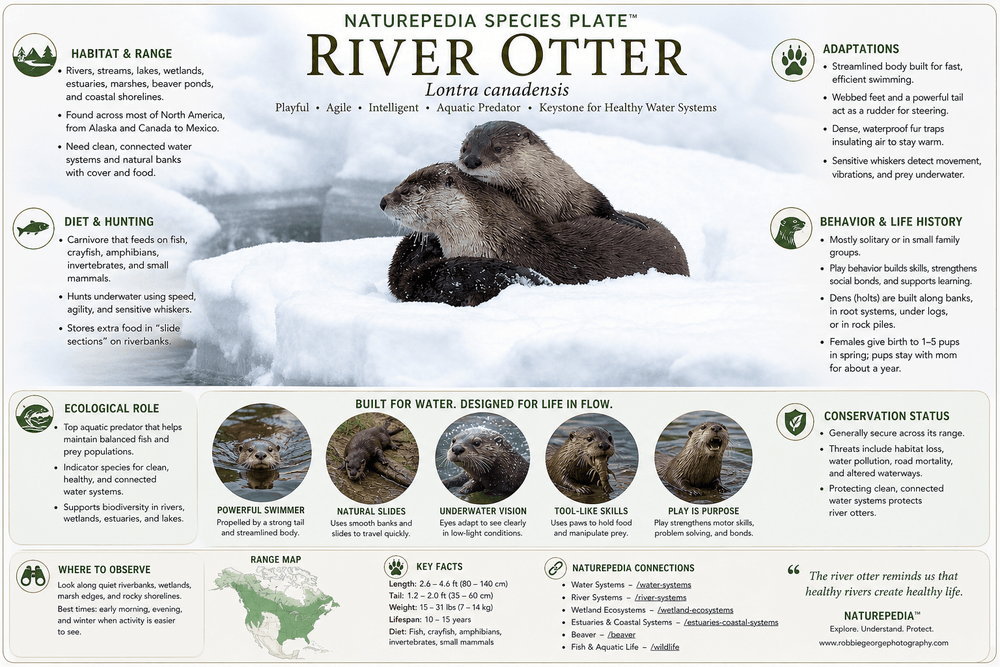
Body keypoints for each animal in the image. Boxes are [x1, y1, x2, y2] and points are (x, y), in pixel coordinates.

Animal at [457, 120, 647, 229]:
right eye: (464, 147)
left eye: (497, 148)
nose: (471, 160)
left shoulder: (582, 189)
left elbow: (604, 205)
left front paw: (632, 222)